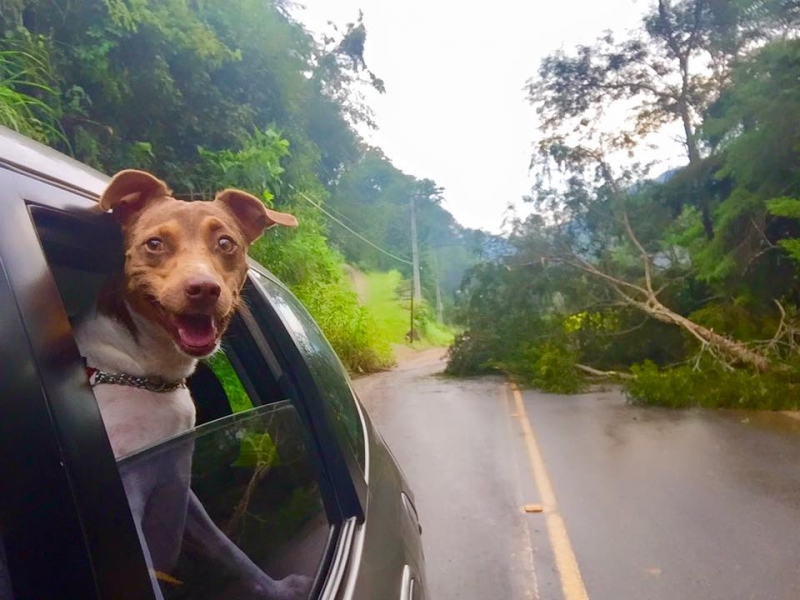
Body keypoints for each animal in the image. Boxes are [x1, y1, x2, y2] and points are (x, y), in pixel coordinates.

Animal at [72, 170, 310, 600]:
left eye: (226, 243)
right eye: (154, 243)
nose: (203, 289)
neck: (142, 373)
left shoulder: (181, 486)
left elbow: (228, 548)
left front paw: (278, 589)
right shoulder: (127, 504)